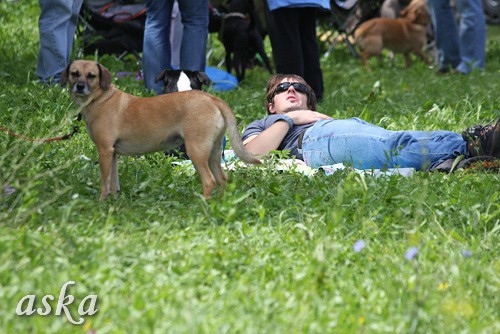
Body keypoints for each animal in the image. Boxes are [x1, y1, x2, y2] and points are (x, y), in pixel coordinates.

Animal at [60, 60, 260, 200]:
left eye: (91, 75)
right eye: (74, 74)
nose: (79, 86)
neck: (101, 99)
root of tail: (213, 99)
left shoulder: (104, 151)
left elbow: (105, 181)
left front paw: (102, 201)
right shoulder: (113, 154)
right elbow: (113, 182)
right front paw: (114, 201)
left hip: (196, 151)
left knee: (209, 181)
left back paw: (203, 203)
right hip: (213, 153)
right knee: (222, 179)